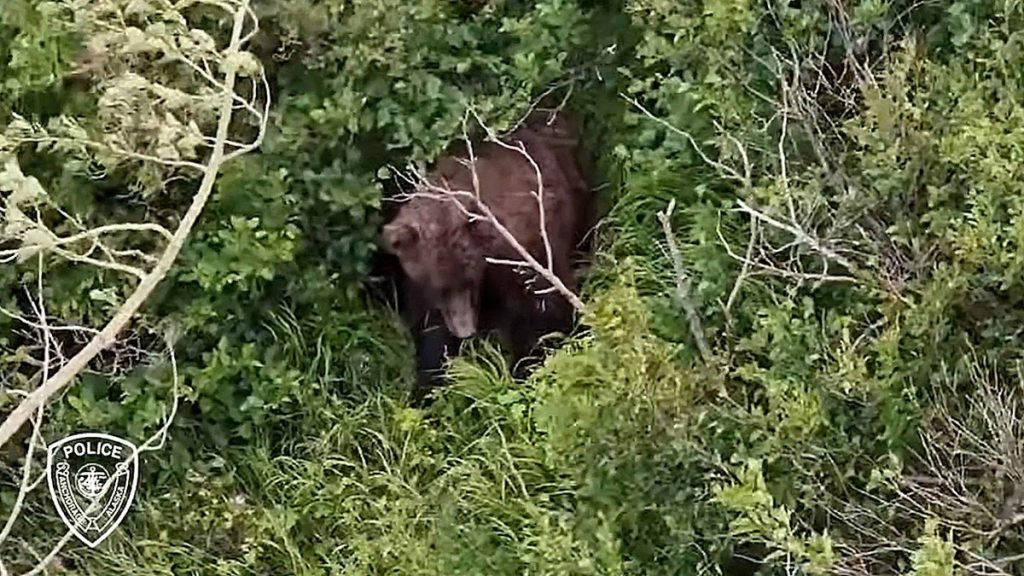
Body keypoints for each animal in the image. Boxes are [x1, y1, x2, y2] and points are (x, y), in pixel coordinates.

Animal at [381, 110, 592, 403]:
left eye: (467, 280)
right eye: (439, 287)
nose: (465, 330)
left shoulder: (522, 250)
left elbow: (543, 310)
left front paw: (526, 368)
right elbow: (429, 331)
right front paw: (426, 386)